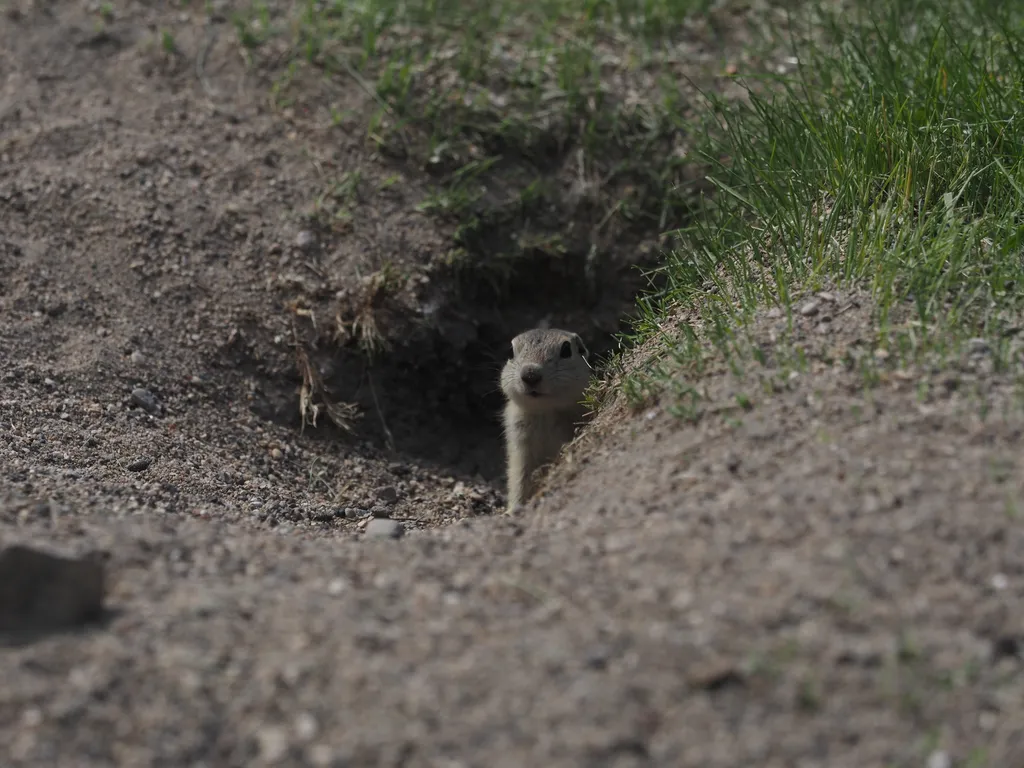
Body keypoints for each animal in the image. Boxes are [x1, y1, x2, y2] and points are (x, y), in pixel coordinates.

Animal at [497, 329, 593, 514]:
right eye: (510, 352)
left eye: (566, 350)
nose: (530, 374)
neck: (545, 412)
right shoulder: (520, 443)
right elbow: (519, 477)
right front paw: (513, 509)